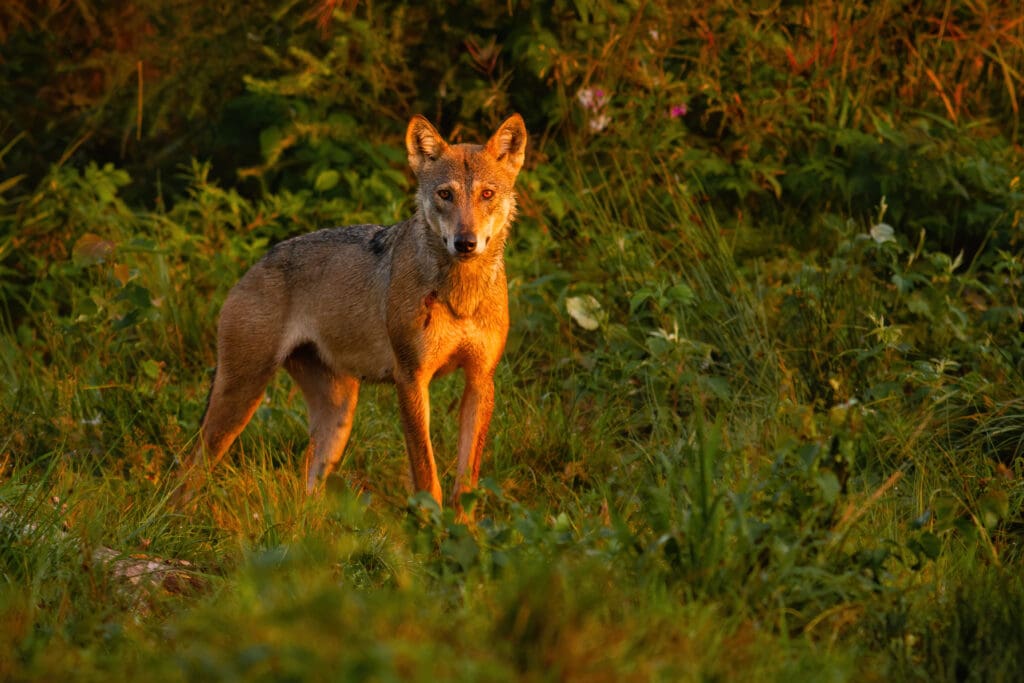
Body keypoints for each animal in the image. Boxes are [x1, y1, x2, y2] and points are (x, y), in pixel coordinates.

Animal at [175, 114, 528, 516]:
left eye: (487, 194)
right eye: (445, 195)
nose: (465, 242)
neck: (460, 296)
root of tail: (253, 266)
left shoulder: (480, 380)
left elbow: (466, 483)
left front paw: (461, 530)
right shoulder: (411, 379)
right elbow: (426, 475)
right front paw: (429, 525)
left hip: (339, 415)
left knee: (307, 487)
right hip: (242, 397)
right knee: (191, 467)